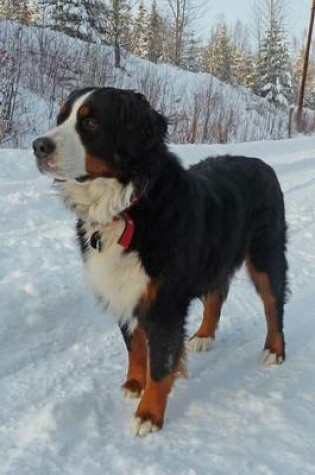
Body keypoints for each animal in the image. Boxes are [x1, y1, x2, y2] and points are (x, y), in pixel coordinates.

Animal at [34, 87, 288, 436]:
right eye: (61, 117)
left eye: (90, 122)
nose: (38, 146)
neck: (127, 208)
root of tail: (261, 164)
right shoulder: (123, 289)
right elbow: (136, 347)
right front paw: (133, 384)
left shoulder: (164, 302)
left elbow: (161, 363)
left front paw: (148, 414)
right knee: (217, 294)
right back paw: (204, 336)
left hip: (266, 253)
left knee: (273, 304)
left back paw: (275, 350)